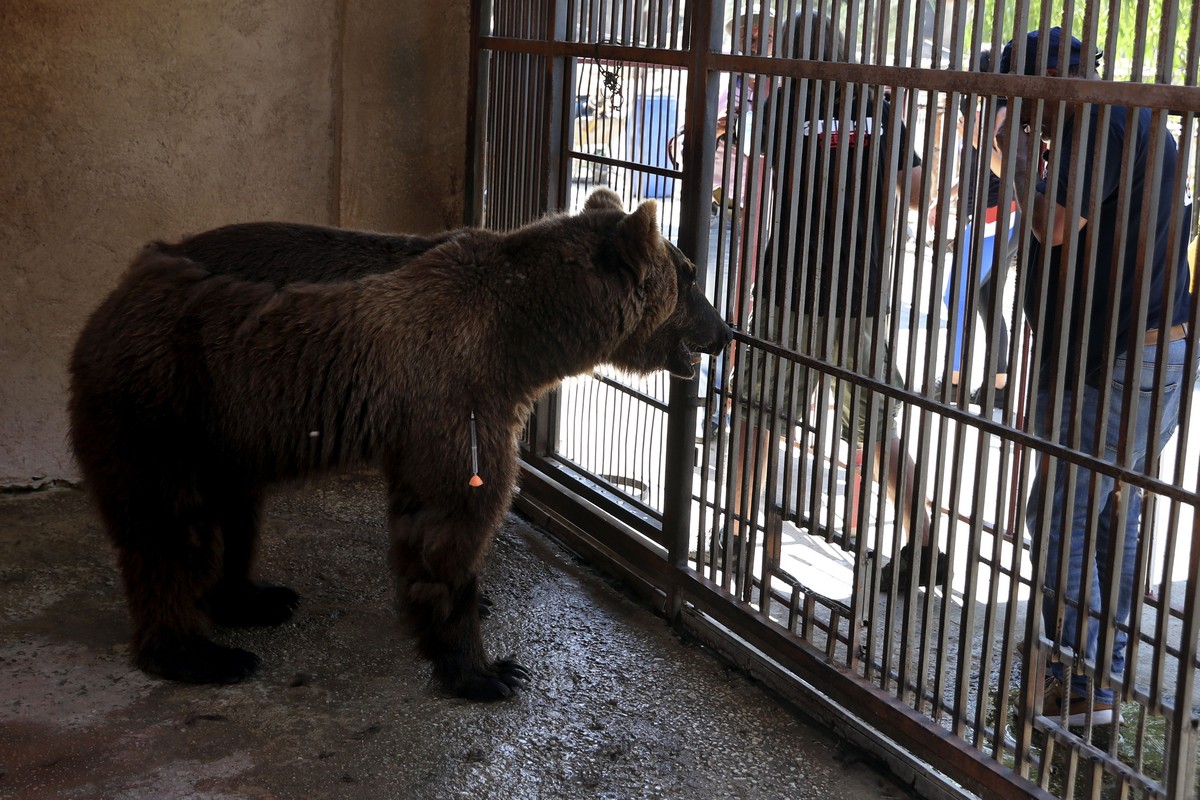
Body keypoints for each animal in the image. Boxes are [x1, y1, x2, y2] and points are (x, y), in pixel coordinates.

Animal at [68, 188, 729, 700]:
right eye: (692, 276)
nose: (725, 332)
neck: (527, 340)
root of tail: (123, 287)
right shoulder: (460, 396)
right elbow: (454, 518)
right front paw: (486, 670)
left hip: (226, 432)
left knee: (234, 517)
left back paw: (255, 599)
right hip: (162, 412)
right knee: (170, 535)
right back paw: (202, 654)